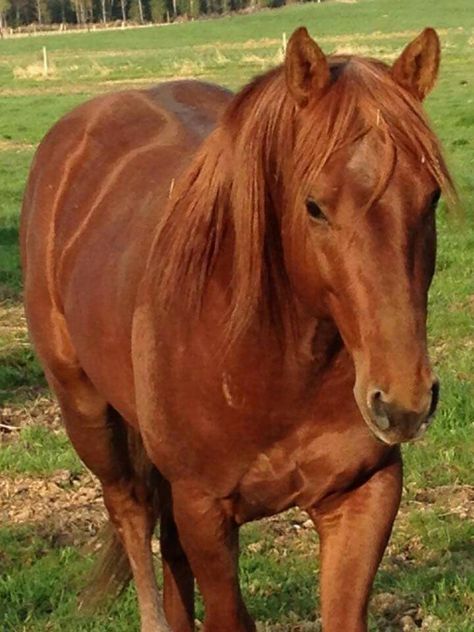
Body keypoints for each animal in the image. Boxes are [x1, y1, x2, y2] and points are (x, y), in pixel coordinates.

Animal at [21, 25, 456, 632]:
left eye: (430, 197)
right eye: (314, 206)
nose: (403, 403)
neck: (272, 363)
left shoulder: (363, 493)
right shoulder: (205, 510)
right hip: (85, 410)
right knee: (131, 511)